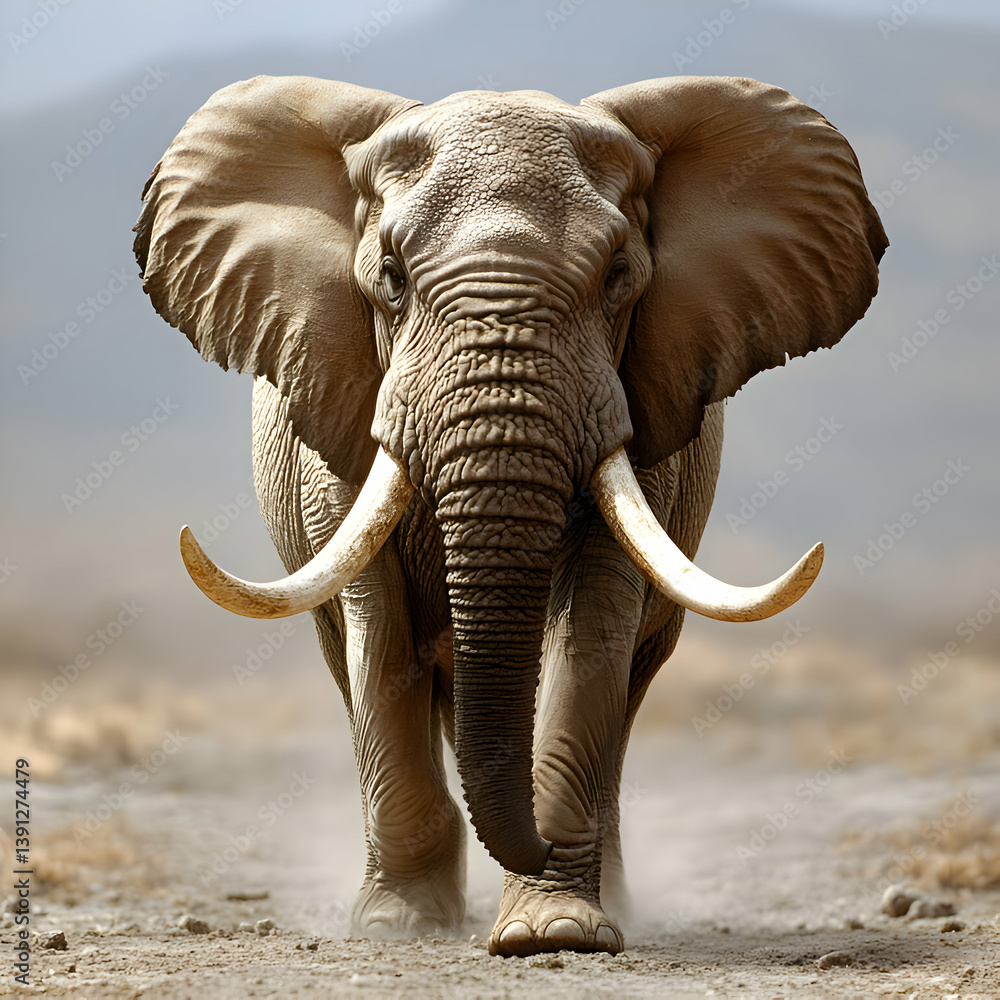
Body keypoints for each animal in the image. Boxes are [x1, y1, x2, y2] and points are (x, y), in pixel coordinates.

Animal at [134, 74, 886, 957]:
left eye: (619, 275)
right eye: (389, 274)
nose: (537, 847)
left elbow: (592, 626)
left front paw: (553, 932)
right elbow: (380, 635)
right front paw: (399, 926)